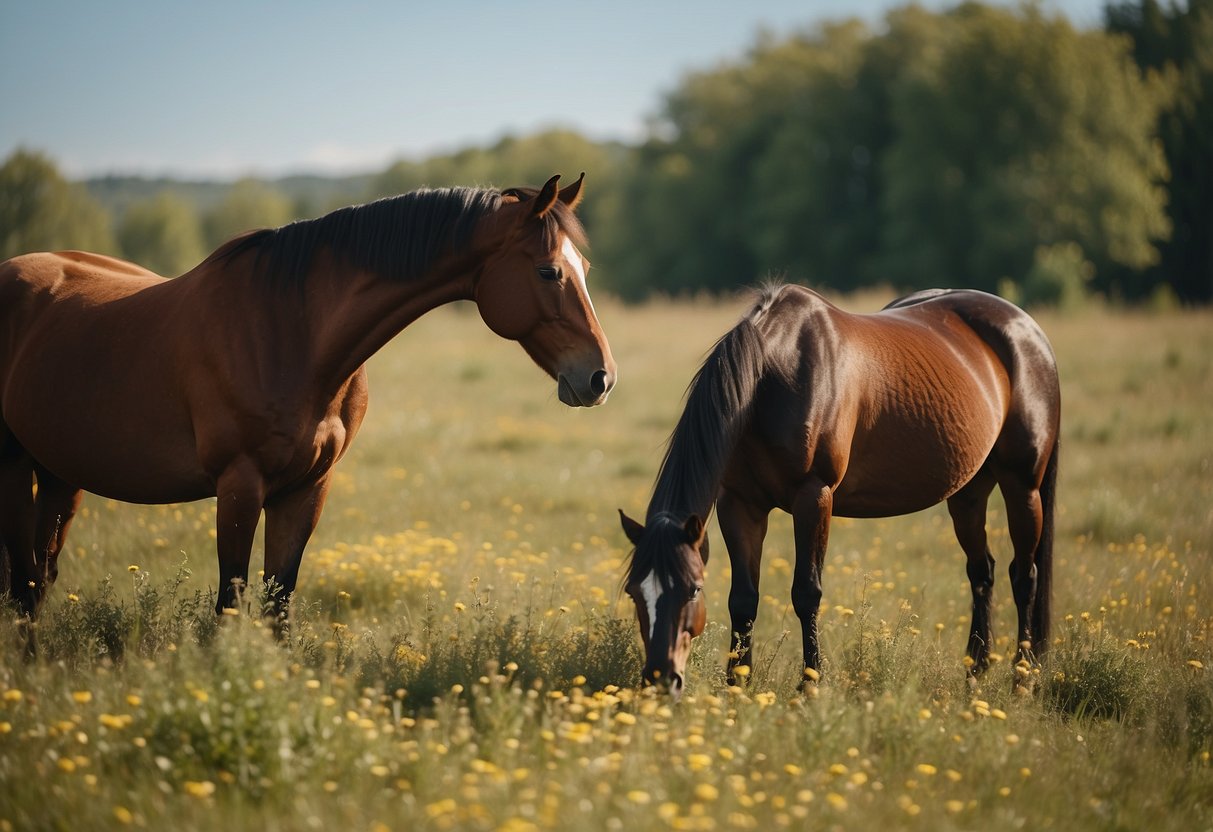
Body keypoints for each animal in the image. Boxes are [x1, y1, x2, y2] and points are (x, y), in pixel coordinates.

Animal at [0, 172, 616, 635]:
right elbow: (229, 604)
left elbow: (279, 605)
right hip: (15, 467)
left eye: (585, 269)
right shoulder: (239, 485)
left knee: (38, 579)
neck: (292, 330)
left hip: (60, 475)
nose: (600, 377)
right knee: (23, 586)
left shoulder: (306, 489)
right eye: (548, 270)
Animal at [621, 285, 1057, 698]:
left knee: (1025, 575)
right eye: (633, 592)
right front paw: (737, 686)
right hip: (967, 492)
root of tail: (1030, 331)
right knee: (982, 571)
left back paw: (1022, 679)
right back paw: (975, 671)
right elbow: (743, 599)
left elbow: (806, 593)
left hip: (1023, 487)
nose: (660, 679)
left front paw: (811, 685)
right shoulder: (739, 504)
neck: (772, 378)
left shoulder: (814, 497)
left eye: (693, 589)